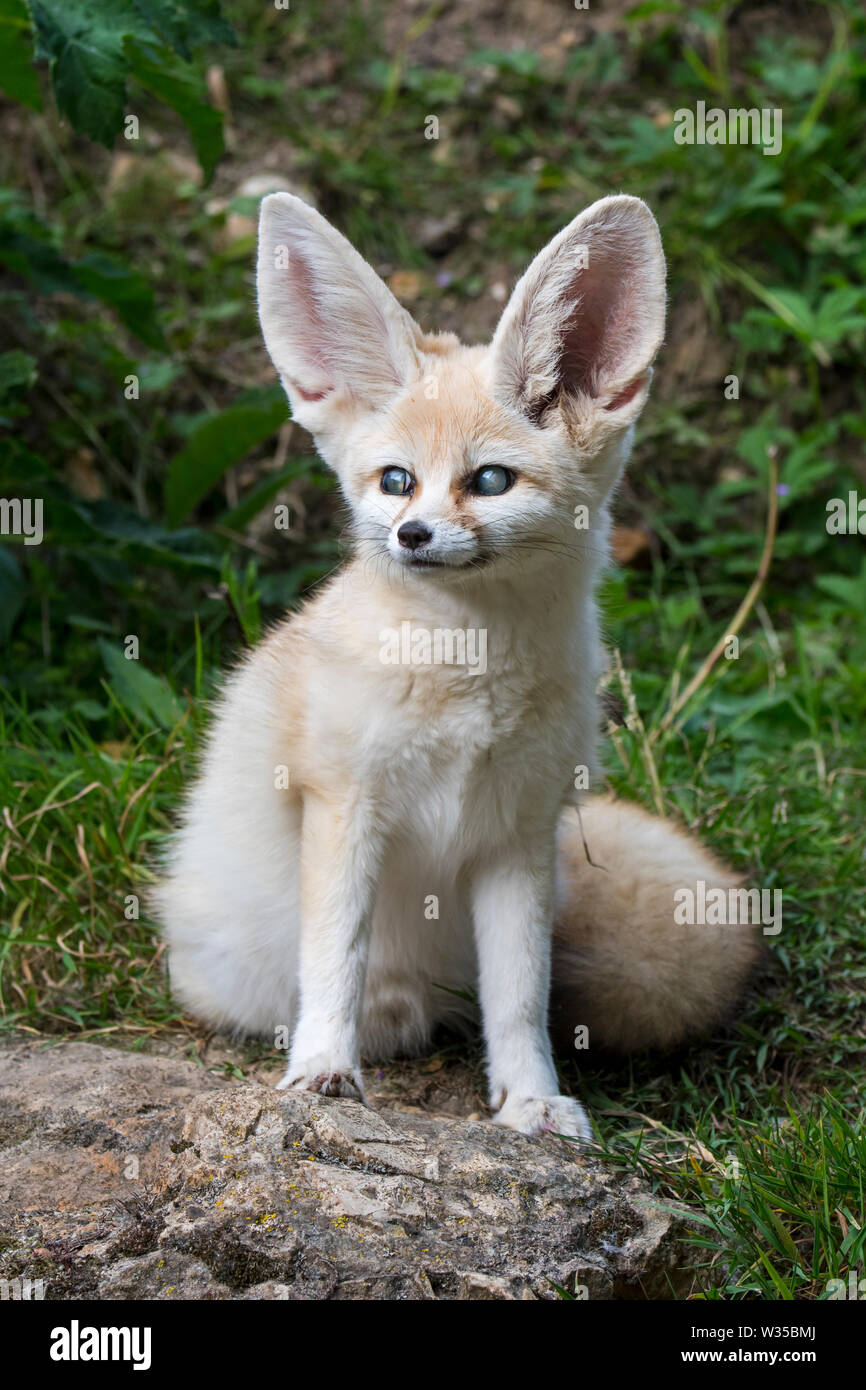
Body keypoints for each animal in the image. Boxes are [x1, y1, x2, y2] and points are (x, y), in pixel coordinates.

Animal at [155, 192, 758, 1142]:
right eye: (396, 481)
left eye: (491, 481)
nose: (411, 536)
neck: (469, 684)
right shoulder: (345, 806)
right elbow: (335, 959)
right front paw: (322, 1073)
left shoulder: (519, 836)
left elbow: (521, 995)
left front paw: (530, 1100)